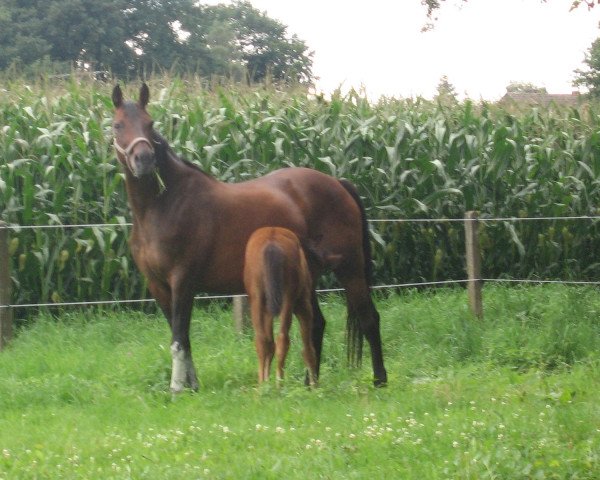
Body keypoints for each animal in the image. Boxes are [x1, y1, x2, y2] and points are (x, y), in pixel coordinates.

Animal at [244, 226, 318, 386]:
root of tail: (271, 240)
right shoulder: (304, 307)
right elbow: (308, 350)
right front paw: (315, 385)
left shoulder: (268, 311)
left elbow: (269, 344)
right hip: (288, 302)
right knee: (283, 339)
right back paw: (279, 383)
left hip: (258, 301)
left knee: (262, 340)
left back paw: (264, 386)